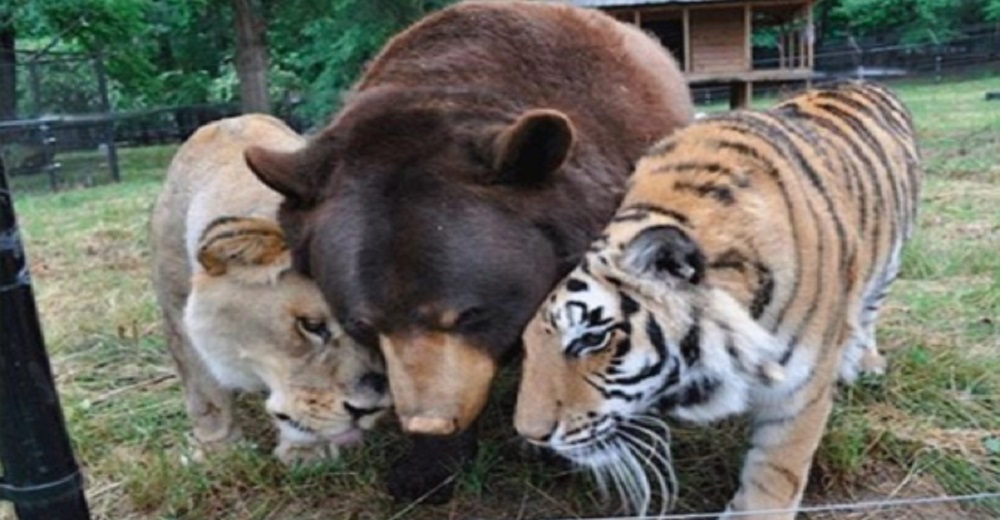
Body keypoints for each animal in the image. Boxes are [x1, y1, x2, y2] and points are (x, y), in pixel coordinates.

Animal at [148, 114, 390, 464]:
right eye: (311, 325)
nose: (370, 409)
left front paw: (306, 453)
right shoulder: (176, 311)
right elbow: (204, 393)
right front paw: (218, 450)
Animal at [516, 79, 920, 516]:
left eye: (592, 338)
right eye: (527, 345)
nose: (530, 434)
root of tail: (861, 81)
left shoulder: (799, 393)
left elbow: (775, 474)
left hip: (891, 261)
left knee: (868, 311)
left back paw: (865, 362)